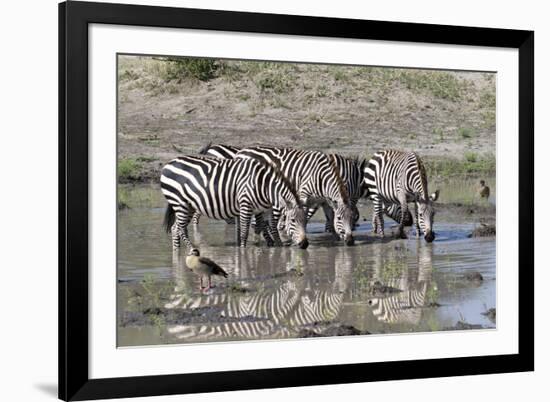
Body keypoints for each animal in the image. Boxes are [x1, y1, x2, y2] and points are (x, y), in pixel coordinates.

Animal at [161, 154, 310, 248]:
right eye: (293, 221)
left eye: (305, 221)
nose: (305, 244)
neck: (264, 186)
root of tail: (170, 162)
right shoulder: (245, 205)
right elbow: (244, 233)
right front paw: (242, 252)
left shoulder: (262, 208)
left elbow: (267, 227)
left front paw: (276, 246)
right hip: (180, 203)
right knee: (178, 228)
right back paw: (190, 251)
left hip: (189, 205)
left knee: (177, 228)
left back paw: (178, 253)